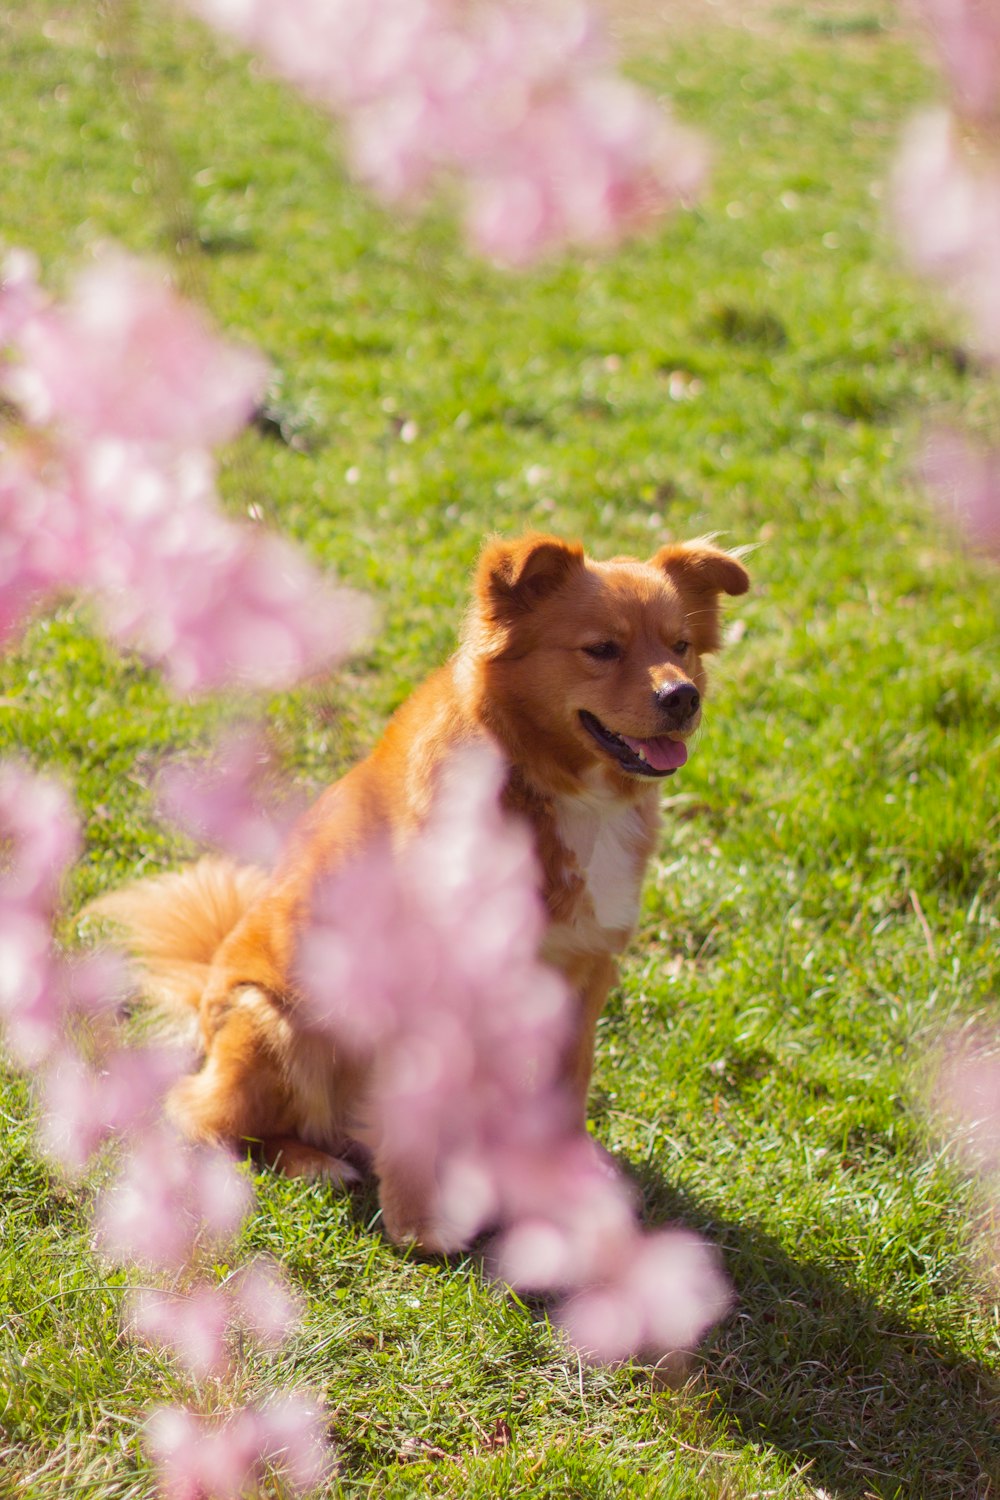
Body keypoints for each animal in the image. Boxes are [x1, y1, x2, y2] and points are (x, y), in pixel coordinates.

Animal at [91, 534, 749, 1248]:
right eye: (601, 648)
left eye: (680, 645)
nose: (683, 697)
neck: (551, 785)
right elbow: (411, 1115)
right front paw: (417, 1223)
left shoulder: (586, 969)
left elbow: (569, 1087)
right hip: (279, 1024)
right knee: (204, 1118)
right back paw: (315, 1162)